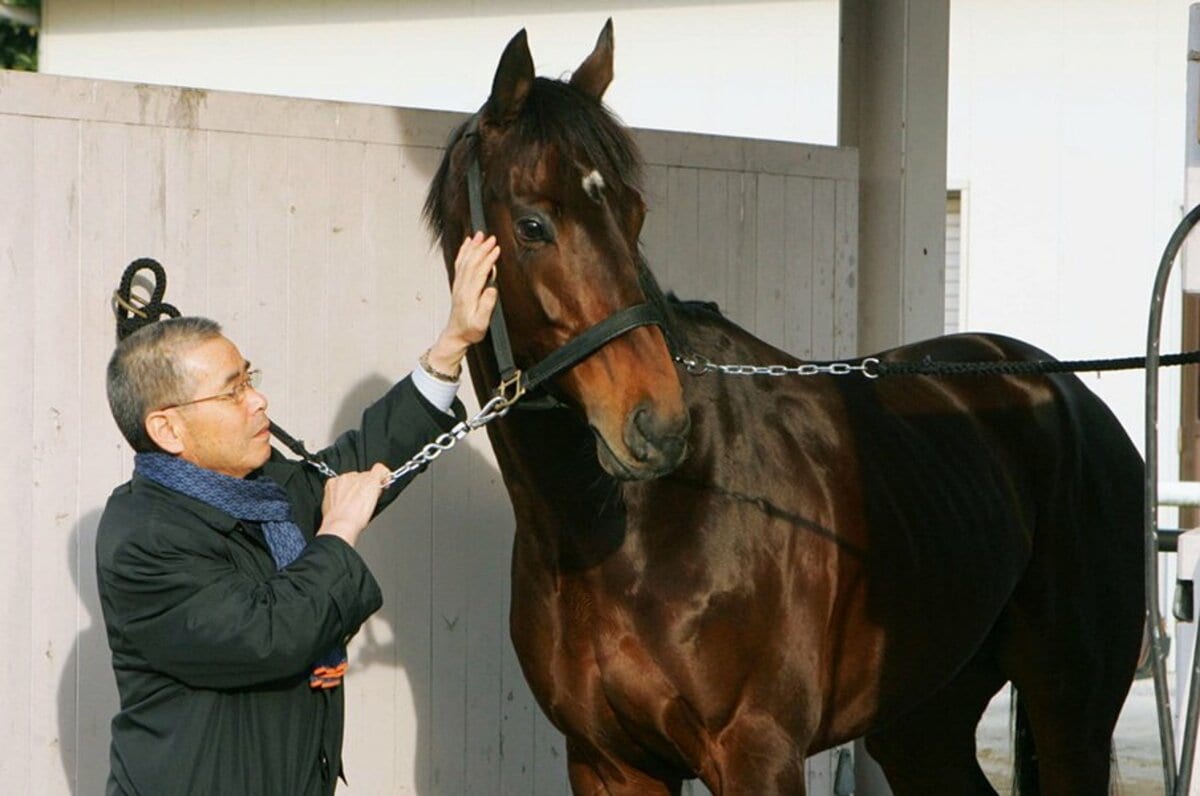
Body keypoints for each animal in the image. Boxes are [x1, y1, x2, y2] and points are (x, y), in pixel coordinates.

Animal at [423, 21, 1145, 795]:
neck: (624, 532)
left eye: (634, 213)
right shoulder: (606, 761)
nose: (657, 424)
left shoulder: (757, 751)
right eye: (532, 225)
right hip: (924, 721)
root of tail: (1070, 396)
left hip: (1071, 714)